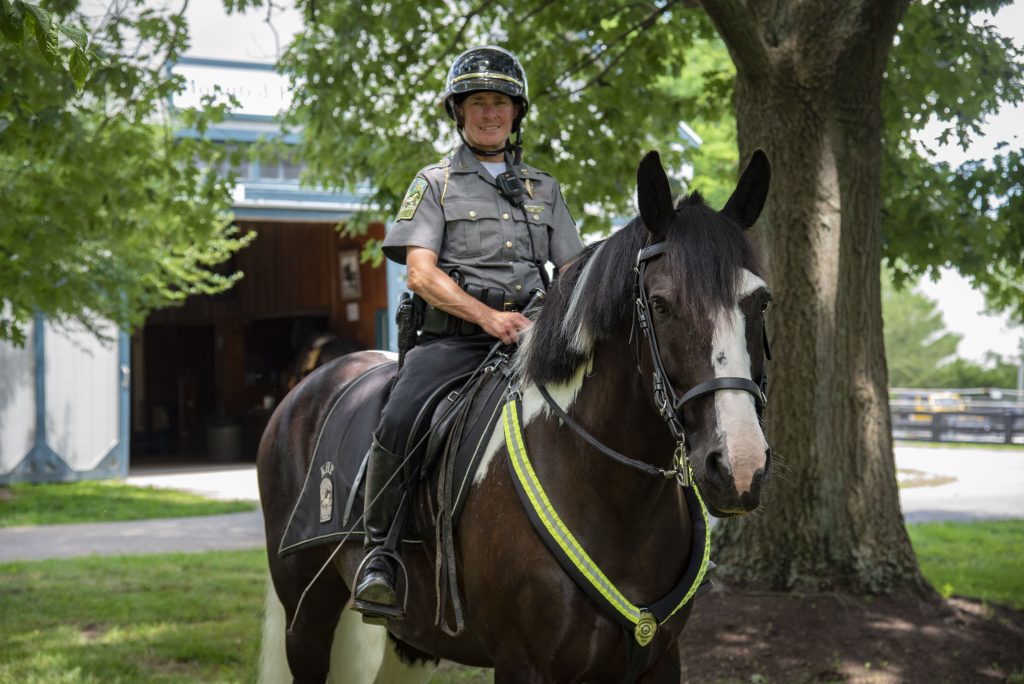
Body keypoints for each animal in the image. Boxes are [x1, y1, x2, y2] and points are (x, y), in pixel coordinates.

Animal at [258, 148, 774, 679]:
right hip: (306, 615)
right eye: (660, 303)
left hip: (411, 639)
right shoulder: (523, 664)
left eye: (761, 302)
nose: (739, 466)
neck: (614, 496)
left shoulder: (660, 659)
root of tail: (312, 386)